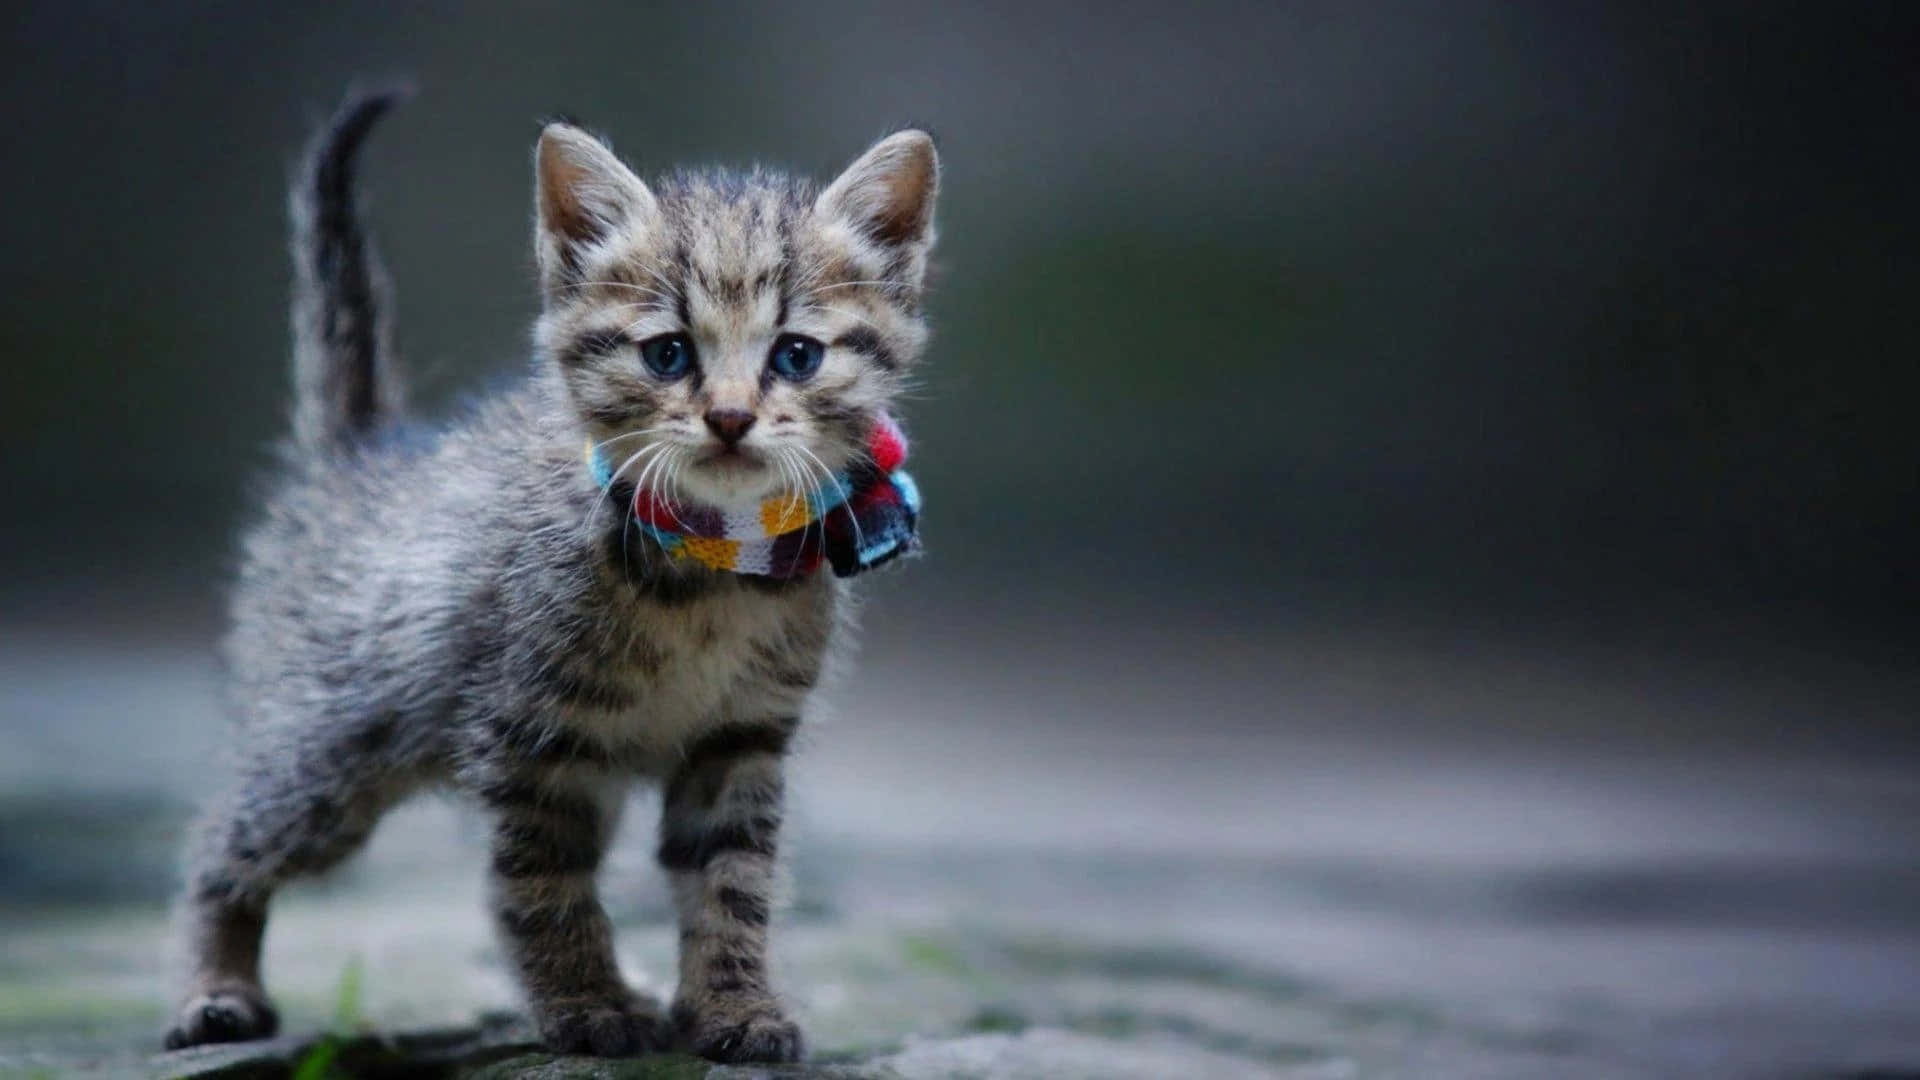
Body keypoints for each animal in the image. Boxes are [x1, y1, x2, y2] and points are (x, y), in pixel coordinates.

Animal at [168, 90, 933, 1060]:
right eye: (668, 354)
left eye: (796, 354)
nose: (728, 418)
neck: (712, 566)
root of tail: (358, 457)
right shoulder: (530, 738)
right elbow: (544, 886)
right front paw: (585, 1005)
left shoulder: (741, 740)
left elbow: (731, 883)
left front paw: (734, 1007)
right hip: (329, 750)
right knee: (223, 842)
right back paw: (215, 992)